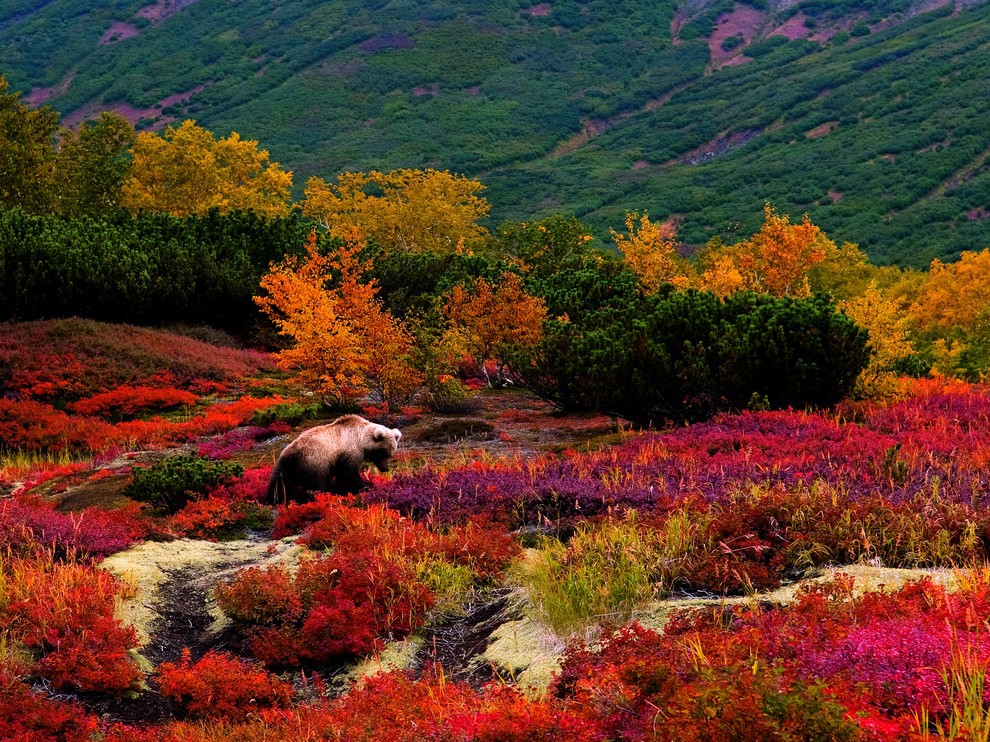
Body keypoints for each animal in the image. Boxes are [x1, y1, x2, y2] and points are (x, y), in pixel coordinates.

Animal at [268, 416, 404, 502]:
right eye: (383, 453)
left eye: (390, 454)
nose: (385, 468)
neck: (361, 440)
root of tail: (295, 452)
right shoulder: (350, 451)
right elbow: (349, 473)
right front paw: (363, 486)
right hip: (316, 462)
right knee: (318, 483)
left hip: (285, 463)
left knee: (279, 482)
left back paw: (274, 499)